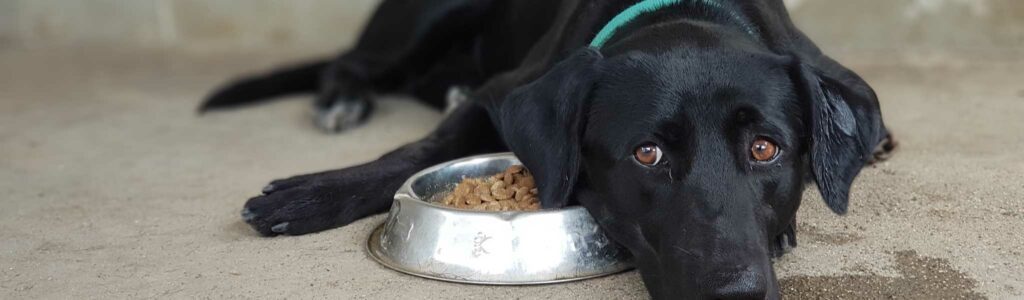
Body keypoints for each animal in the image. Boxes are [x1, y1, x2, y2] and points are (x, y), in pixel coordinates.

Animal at [199, 0, 897, 296]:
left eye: (765, 149)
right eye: (647, 154)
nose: (734, 295)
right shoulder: (500, 94)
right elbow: (413, 153)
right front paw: (311, 195)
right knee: (354, 62)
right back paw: (342, 99)